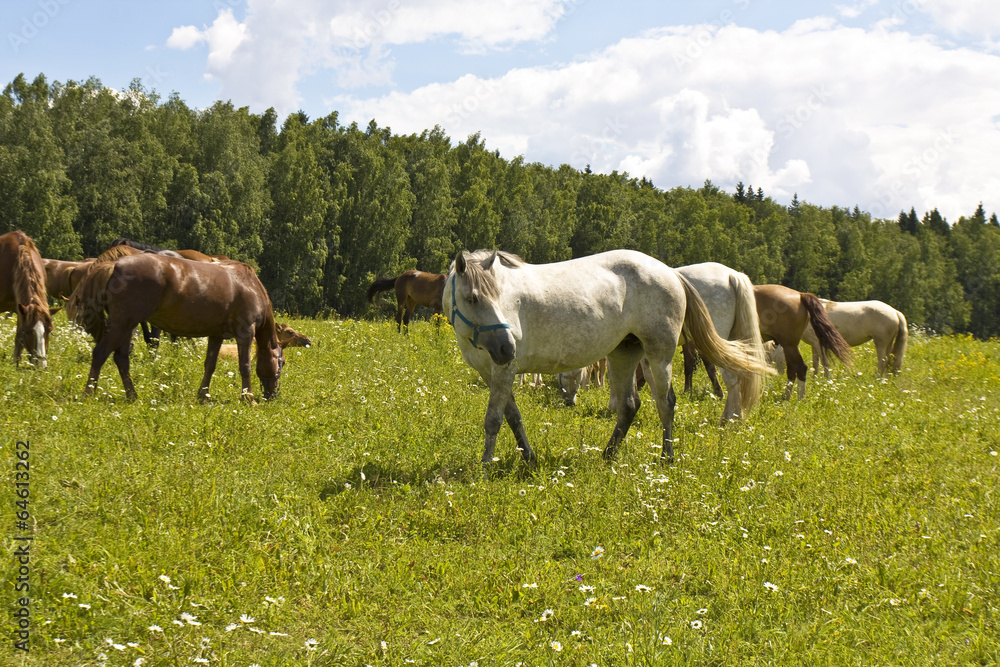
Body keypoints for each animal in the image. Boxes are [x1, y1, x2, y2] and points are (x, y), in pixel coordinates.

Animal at [0, 231, 55, 368]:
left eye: (49, 331)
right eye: (29, 332)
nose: (41, 364)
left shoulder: (20, 309)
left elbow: (18, 337)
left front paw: (16, 363)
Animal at [67, 253, 283, 402]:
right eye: (281, 363)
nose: (273, 395)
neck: (250, 285)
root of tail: (115, 265)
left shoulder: (216, 335)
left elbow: (210, 365)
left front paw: (203, 395)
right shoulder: (245, 333)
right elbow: (245, 366)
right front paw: (248, 397)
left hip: (127, 326)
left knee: (121, 358)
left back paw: (132, 394)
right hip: (122, 325)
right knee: (100, 353)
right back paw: (89, 392)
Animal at [444, 249, 774, 464]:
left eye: (498, 296)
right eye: (473, 298)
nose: (507, 346)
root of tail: (671, 273)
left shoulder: (504, 369)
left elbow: (494, 419)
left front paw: (485, 465)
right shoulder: (493, 372)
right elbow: (513, 417)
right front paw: (529, 458)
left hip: (659, 355)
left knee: (667, 402)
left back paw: (667, 456)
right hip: (624, 354)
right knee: (629, 405)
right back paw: (608, 454)